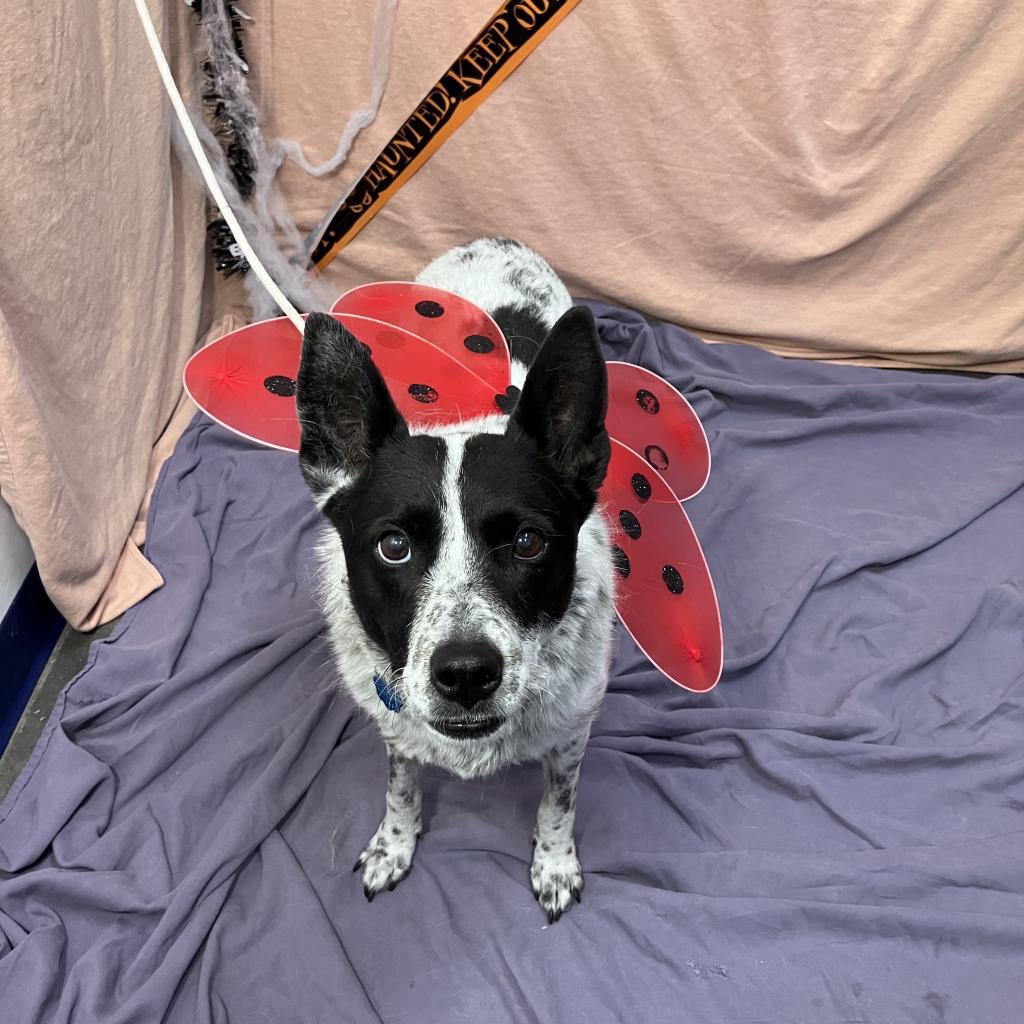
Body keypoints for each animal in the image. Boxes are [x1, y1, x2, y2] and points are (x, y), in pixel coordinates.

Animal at [299, 237, 614, 921]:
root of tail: (493, 241)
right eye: (393, 546)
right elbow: (400, 786)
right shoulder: (395, 727)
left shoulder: (573, 732)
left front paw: (555, 863)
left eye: (528, 542)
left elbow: (559, 801)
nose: (466, 673)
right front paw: (394, 844)